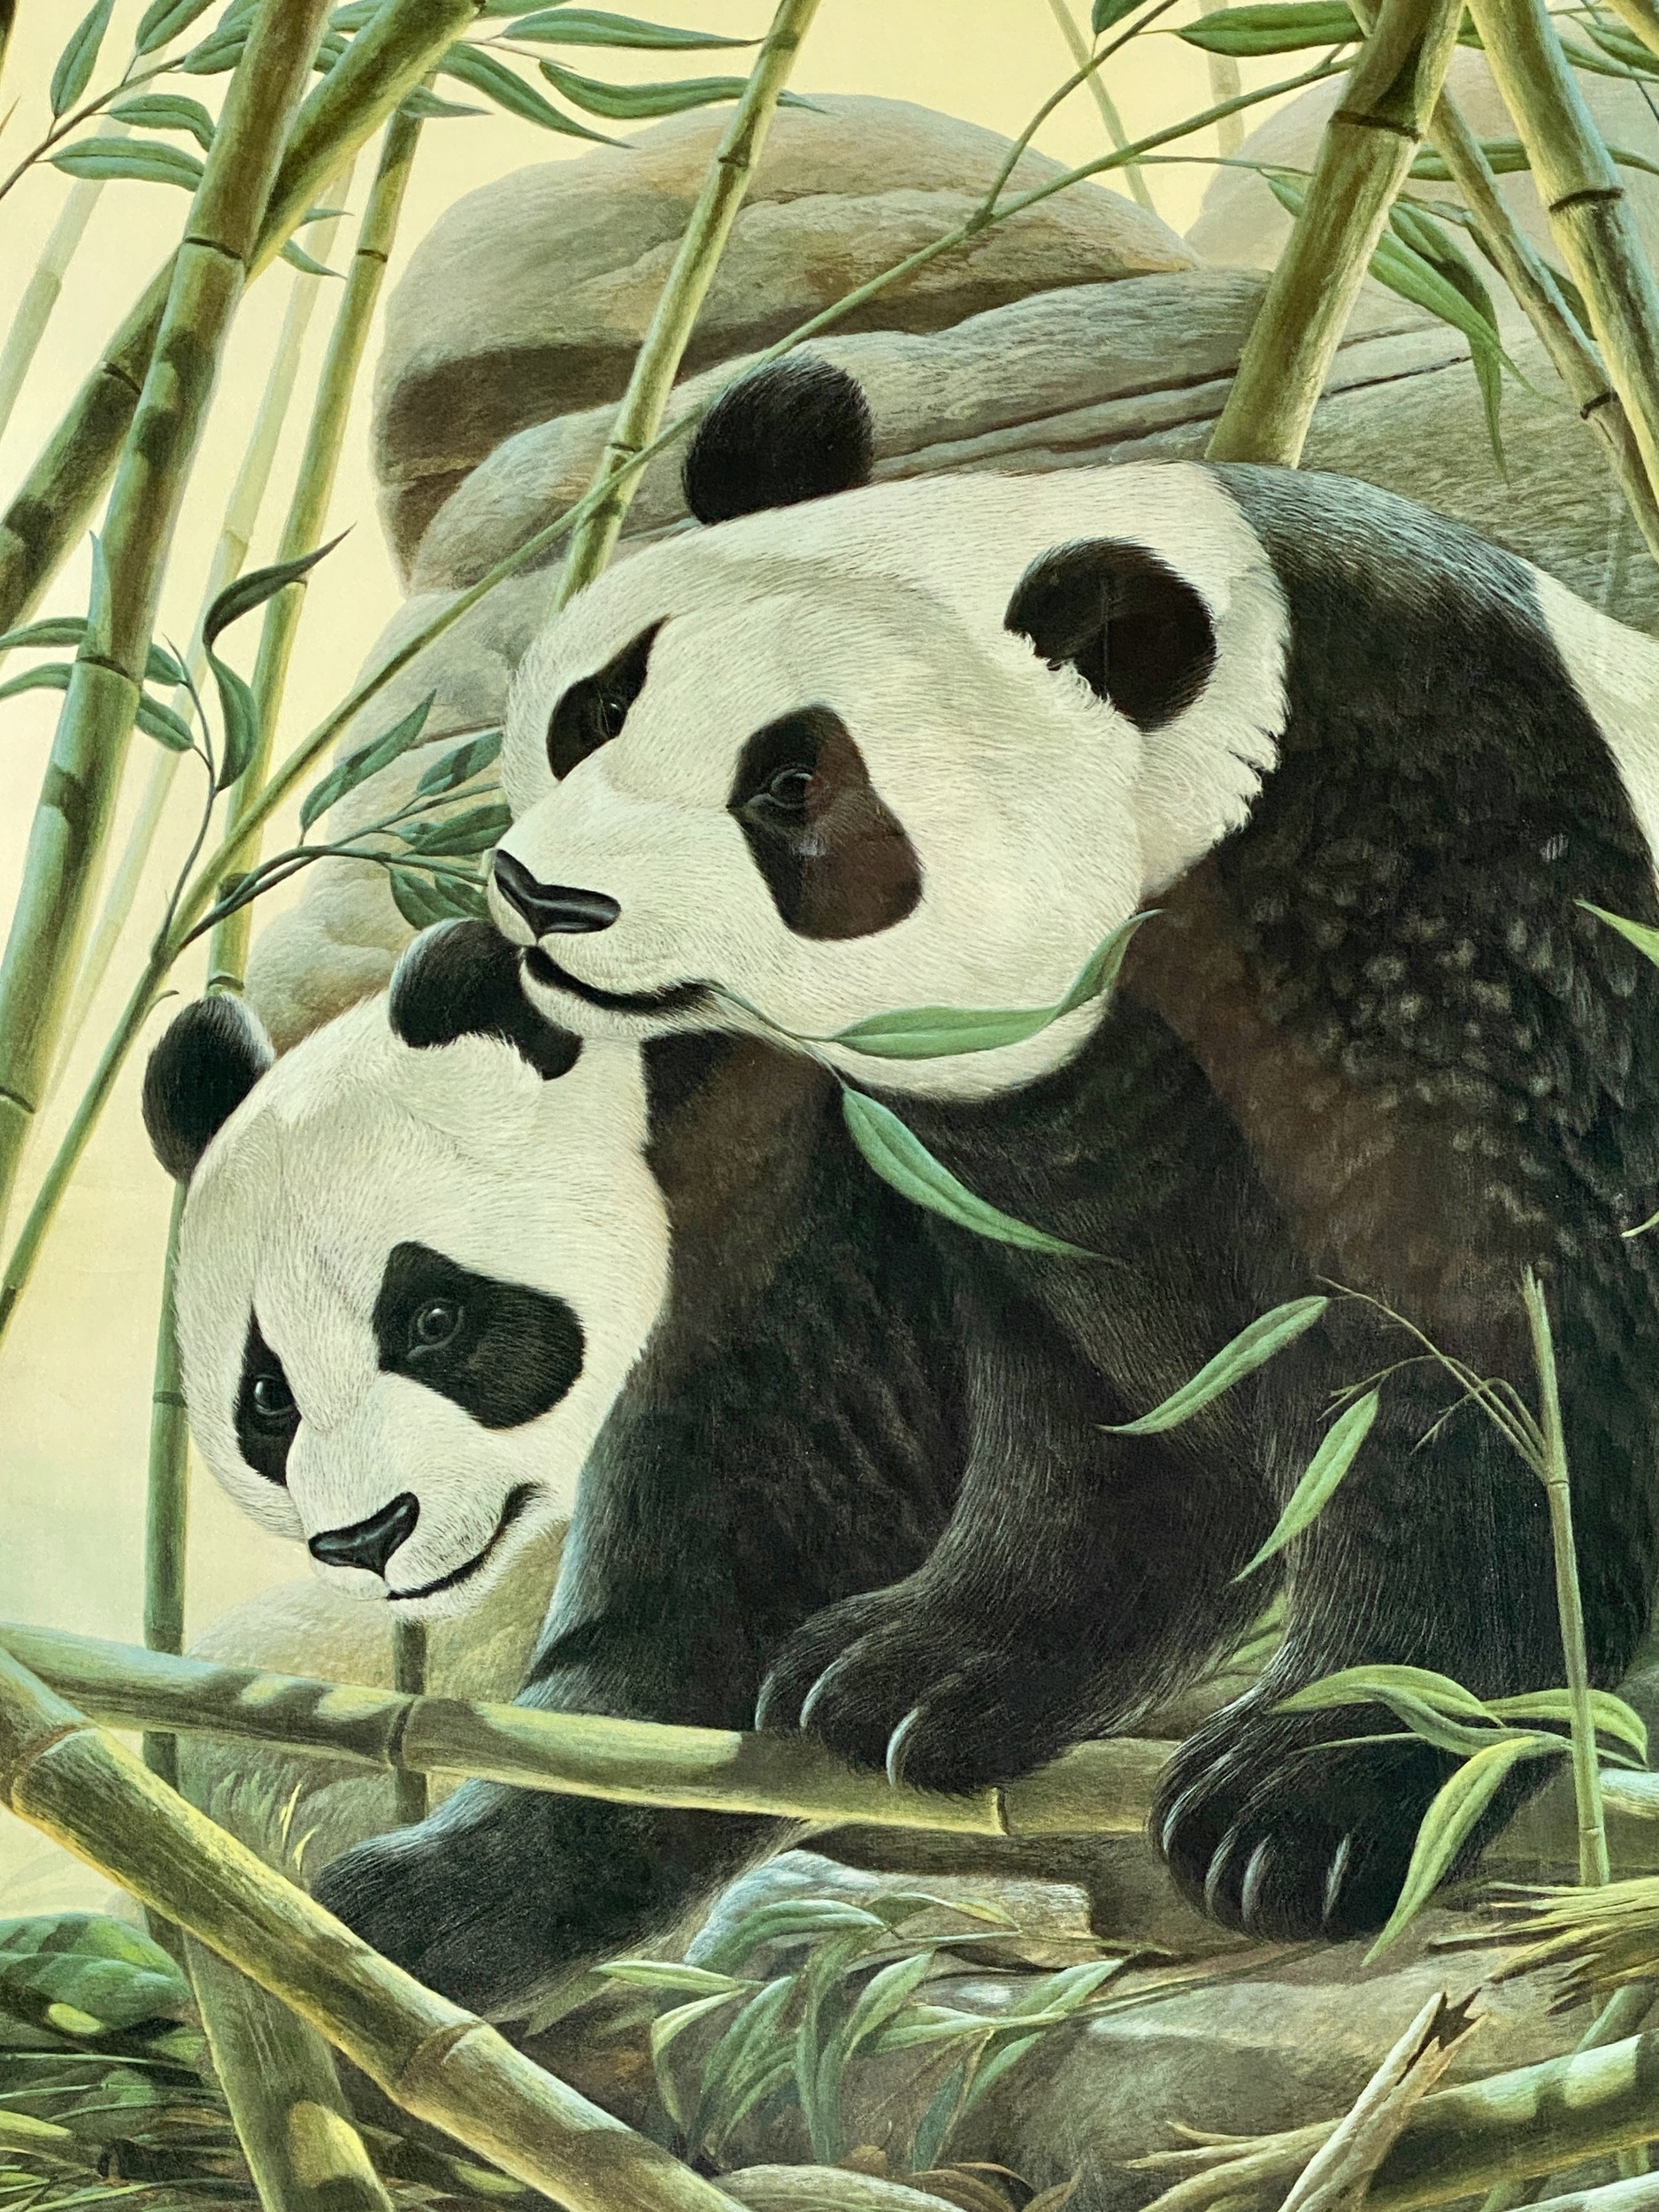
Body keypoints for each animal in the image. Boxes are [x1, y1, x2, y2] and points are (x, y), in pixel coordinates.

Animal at [143, 922, 990, 2017]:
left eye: (434, 1318)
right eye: (266, 1397)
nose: (369, 1535)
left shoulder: (814, 1189)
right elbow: (711, 1623)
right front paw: (432, 1903)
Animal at [483, 354, 1659, 1946]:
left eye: (790, 787)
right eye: (599, 706)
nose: (548, 898)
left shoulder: (1452, 905)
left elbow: (1504, 1358)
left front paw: (1318, 1781)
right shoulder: (999, 1153)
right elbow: (1083, 1421)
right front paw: (919, 1668)